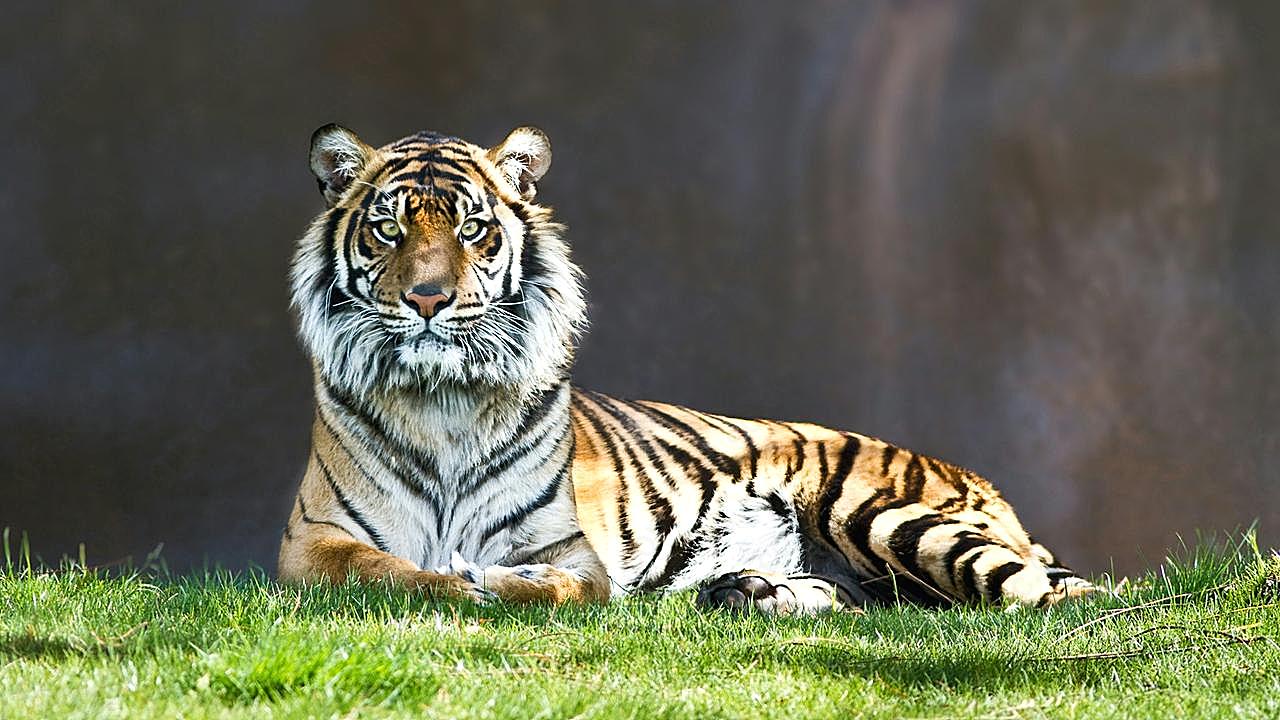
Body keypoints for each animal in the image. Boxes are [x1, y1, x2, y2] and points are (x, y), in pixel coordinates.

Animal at [275, 122, 1095, 609]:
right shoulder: (311, 545)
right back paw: (749, 590)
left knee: (1053, 596)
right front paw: (456, 581)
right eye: (388, 229)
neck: (444, 399)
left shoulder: (573, 551)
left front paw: (490, 580)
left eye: (474, 228)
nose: (427, 298)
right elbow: (387, 572)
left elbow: (555, 588)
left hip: (890, 515)